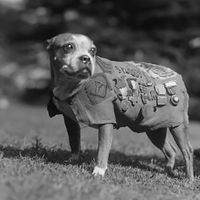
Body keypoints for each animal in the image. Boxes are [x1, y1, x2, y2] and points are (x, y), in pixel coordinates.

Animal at [45, 33, 194, 181]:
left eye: (93, 50)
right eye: (68, 46)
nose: (86, 58)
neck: (72, 85)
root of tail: (177, 75)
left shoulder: (105, 122)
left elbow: (102, 149)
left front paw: (99, 171)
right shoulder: (70, 121)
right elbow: (74, 141)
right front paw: (73, 159)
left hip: (178, 126)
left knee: (187, 150)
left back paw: (189, 178)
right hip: (154, 129)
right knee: (170, 150)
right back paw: (167, 171)